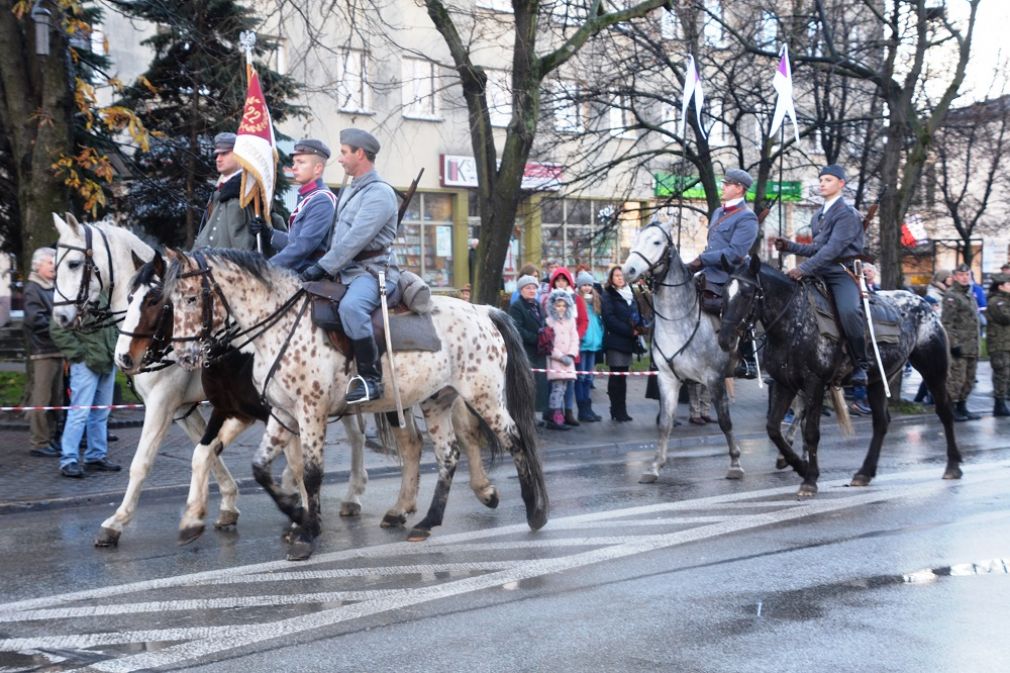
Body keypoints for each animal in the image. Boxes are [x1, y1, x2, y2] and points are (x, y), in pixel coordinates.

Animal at [162, 248, 549, 557]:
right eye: (169, 302)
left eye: (191, 298)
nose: (183, 356)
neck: (278, 326)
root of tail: (483, 311)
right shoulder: (281, 413)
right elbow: (260, 468)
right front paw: (297, 514)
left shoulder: (310, 412)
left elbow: (311, 473)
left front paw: (308, 531)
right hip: (436, 401)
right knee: (447, 455)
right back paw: (426, 520)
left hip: (484, 397)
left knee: (513, 440)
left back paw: (534, 511)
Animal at [719, 254, 961, 495]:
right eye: (723, 293)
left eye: (747, 293)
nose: (725, 340)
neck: (793, 322)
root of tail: (925, 305)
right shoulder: (783, 383)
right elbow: (773, 429)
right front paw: (799, 465)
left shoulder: (814, 382)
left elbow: (811, 432)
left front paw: (810, 479)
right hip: (877, 380)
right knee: (881, 422)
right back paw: (864, 473)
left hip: (933, 370)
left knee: (945, 411)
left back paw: (953, 466)